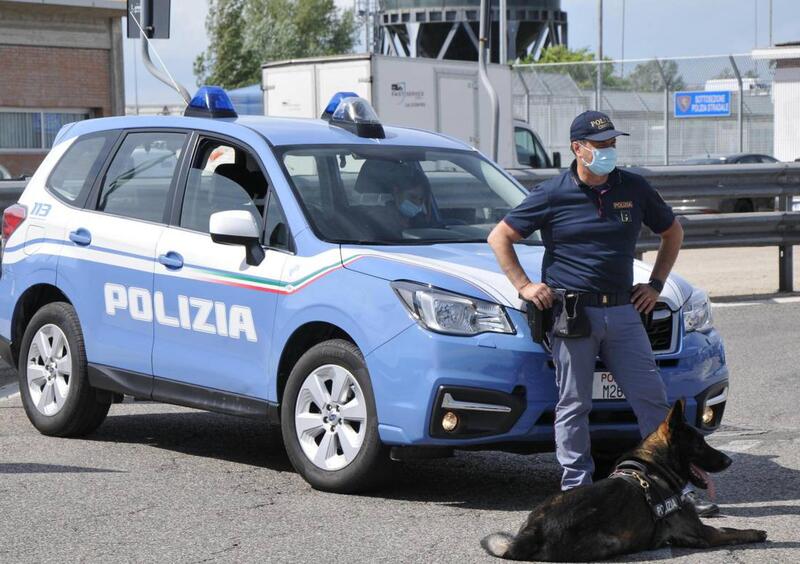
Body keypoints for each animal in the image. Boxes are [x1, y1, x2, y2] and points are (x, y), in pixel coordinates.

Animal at [482, 398, 768, 560]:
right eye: (699, 444)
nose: (728, 461)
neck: (655, 466)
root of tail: (531, 532)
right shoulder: (702, 533)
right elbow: (732, 531)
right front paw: (756, 533)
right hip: (607, 542)